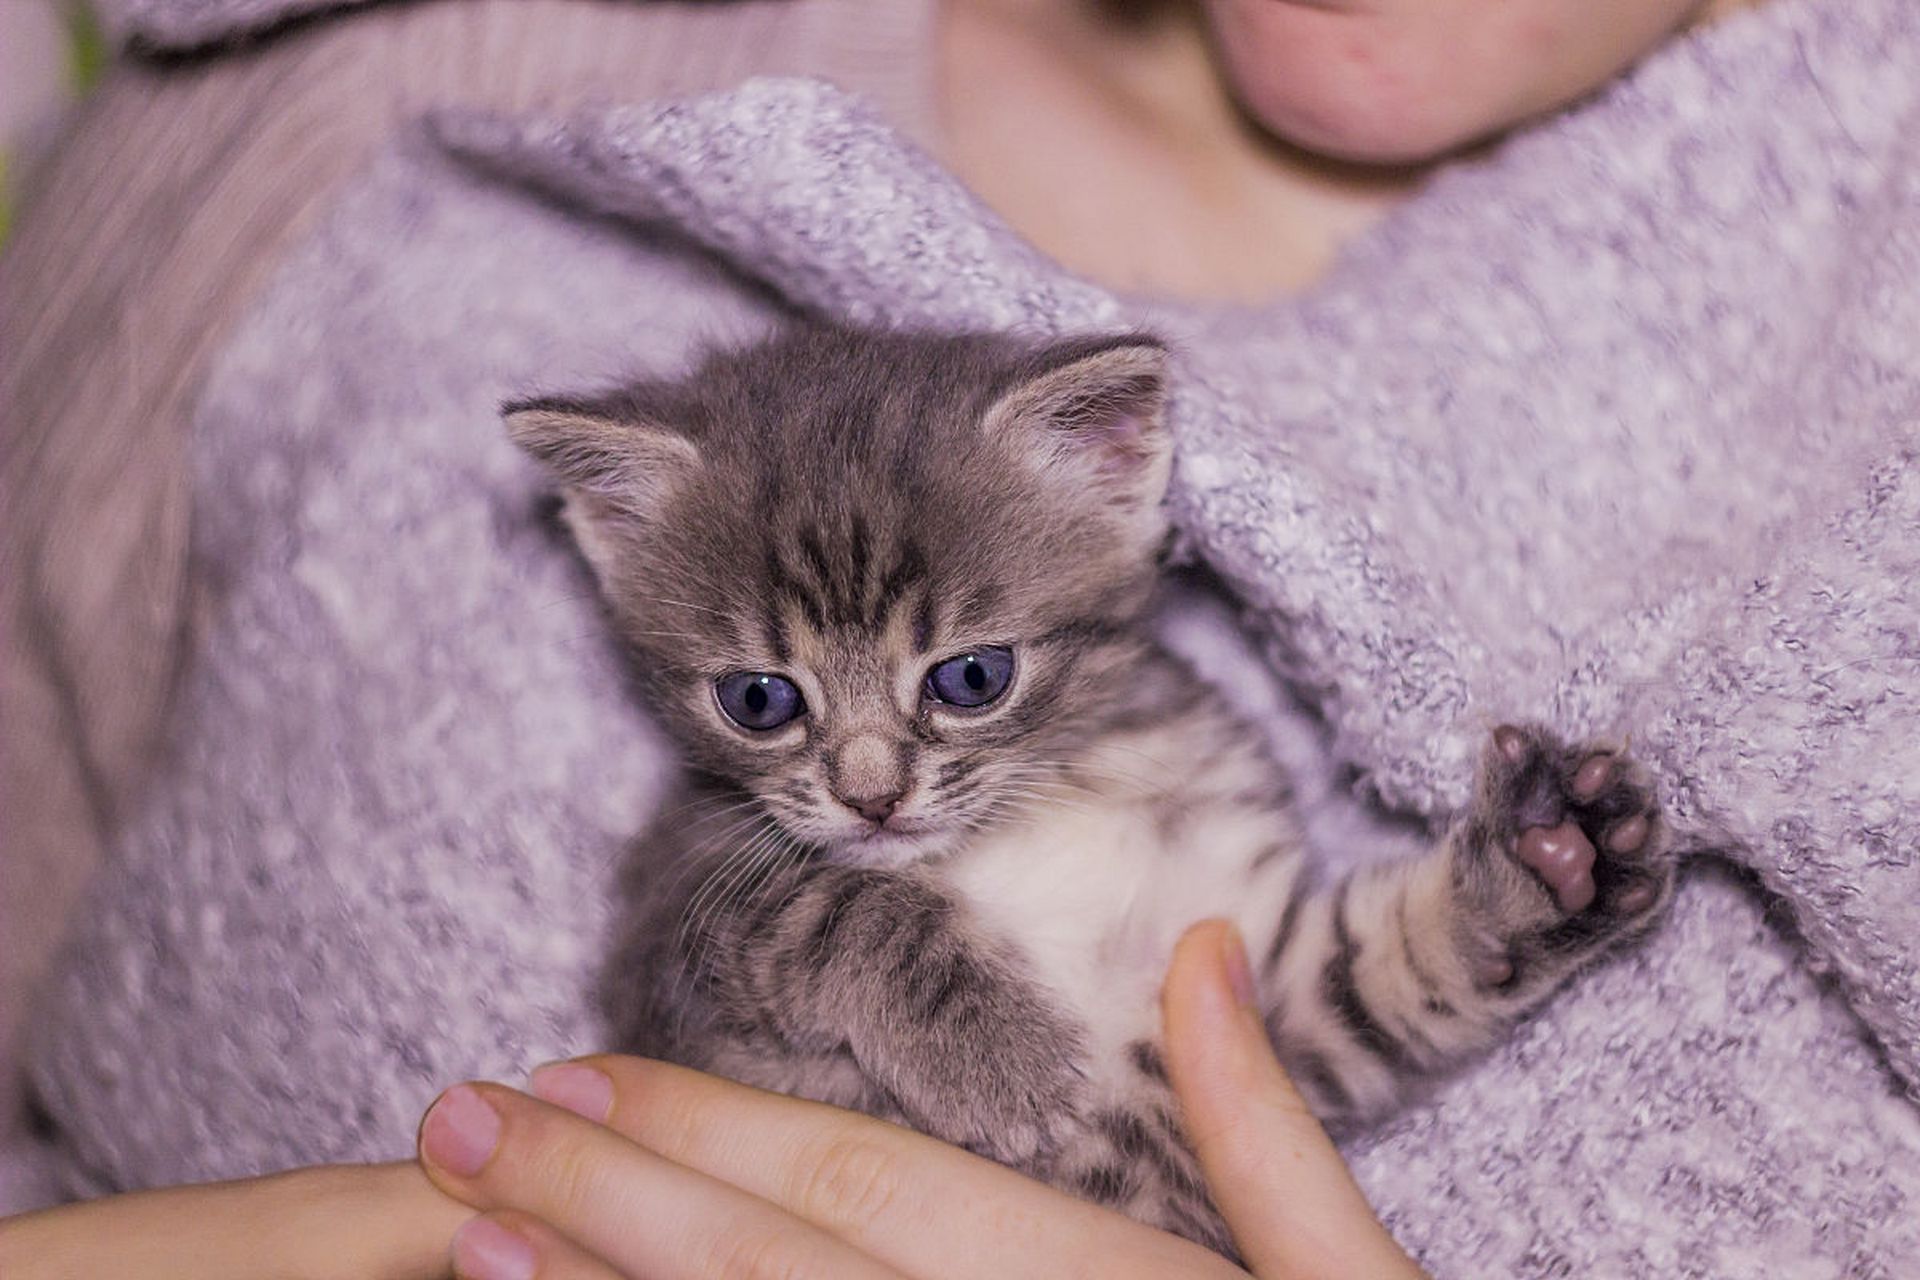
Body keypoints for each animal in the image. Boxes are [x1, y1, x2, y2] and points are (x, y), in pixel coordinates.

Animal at [503, 326, 1674, 1258]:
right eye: (757, 698)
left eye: (972, 677)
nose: (871, 798)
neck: (1036, 807)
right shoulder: (678, 954)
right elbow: (834, 899)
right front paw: (997, 1051)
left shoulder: (1248, 979)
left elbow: (1385, 962)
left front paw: (1545, 864)